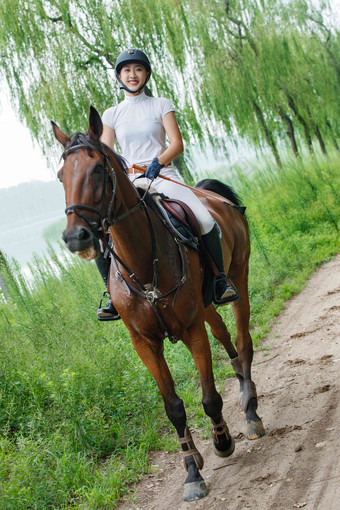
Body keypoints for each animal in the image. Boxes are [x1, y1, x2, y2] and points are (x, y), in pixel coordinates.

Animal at [53, 106, 266, 502]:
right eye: (62, 175)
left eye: (98, 169)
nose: (76, 237)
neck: (142, 259)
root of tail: (211, 195)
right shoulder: (144, 342)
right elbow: (173, 408)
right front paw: (192, 471)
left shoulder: (192, 329)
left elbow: (209, 397)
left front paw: (221, 442)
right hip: (206, 304)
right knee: (224, 335)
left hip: (239, 278)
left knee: (243, 340)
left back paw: (251, 413)